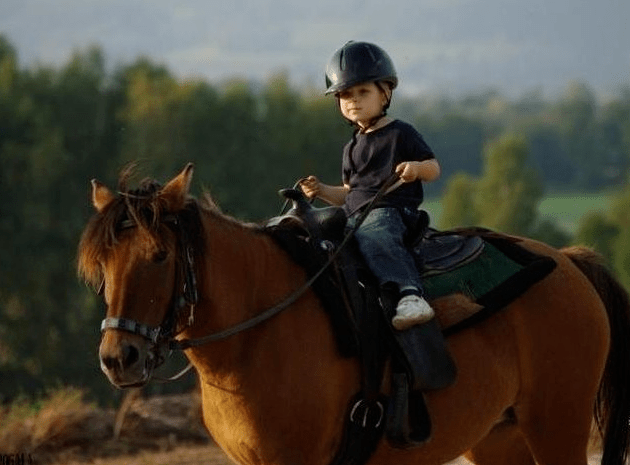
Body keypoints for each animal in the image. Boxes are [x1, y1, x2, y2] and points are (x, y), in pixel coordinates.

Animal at [79, 165, 630, 464]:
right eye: (101, 264)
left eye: (159, 256)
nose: (118, 358)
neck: (257, 335)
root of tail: (569, 261)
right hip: (500, 438)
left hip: (557, 426)